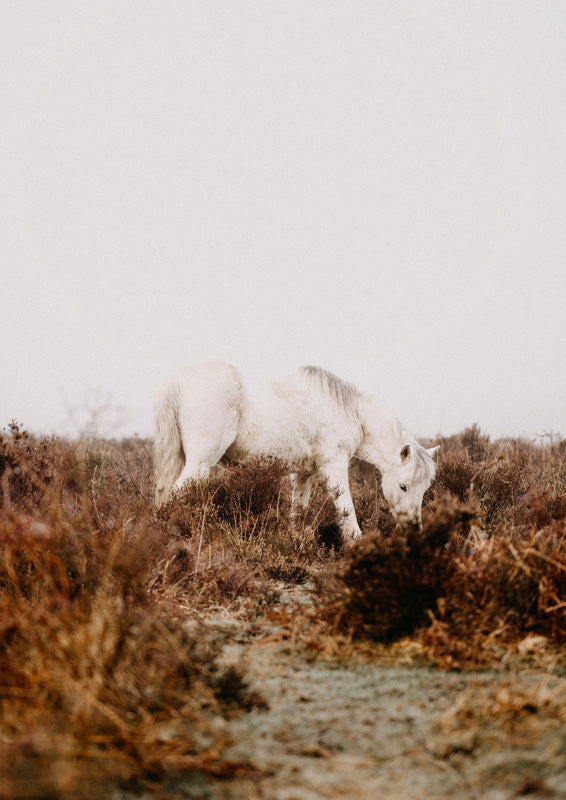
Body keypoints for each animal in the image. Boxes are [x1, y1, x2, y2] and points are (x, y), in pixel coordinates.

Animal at [153, 362, 439, 540]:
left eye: (424, 488)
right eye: (403, 486)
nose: (413, 527)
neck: (351, 412)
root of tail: (177, 380)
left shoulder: (303, 474)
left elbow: (298, 512)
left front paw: (297, 543)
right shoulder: (333, 467)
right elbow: (347, 511)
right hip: (200, 463)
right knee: (172, 495)